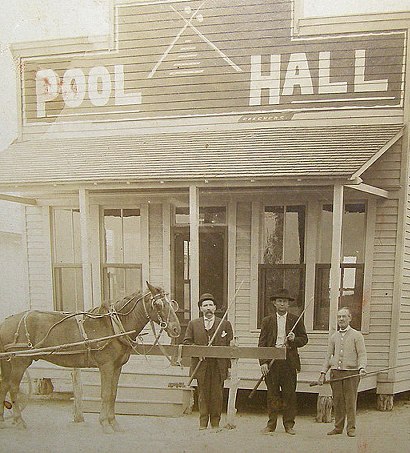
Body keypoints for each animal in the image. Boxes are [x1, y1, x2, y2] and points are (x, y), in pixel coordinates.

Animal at [0, 280, 181, 432]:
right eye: (158, 304)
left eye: (172, 303)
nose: (176, 329)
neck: (113, 326)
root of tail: (5, 323)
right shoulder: (106, 366)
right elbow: (105, 394)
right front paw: (105, 423)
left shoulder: (117, 367)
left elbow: (113, 394)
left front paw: (114, 423)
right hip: (19, 362)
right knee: (13, 388)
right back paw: (19, 420)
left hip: (8, 363)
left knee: (4, 386)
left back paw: (3, 420)